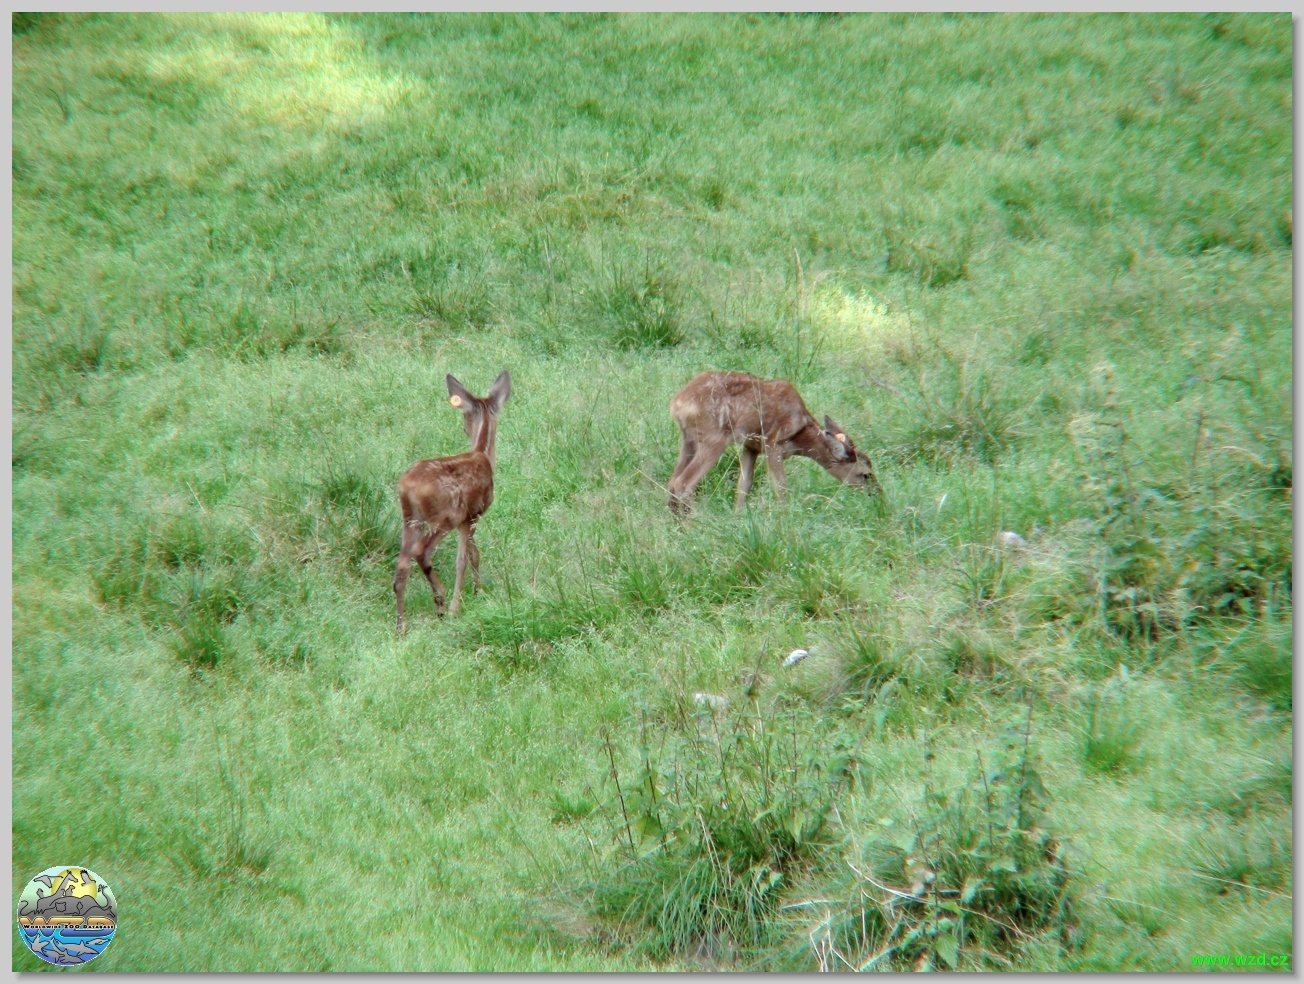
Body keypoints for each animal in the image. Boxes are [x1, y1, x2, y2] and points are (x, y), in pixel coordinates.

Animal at [394, 370, 511, 633]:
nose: (464, 429)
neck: (482, 453)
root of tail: (407, 487)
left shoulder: (469, 518)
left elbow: (474, 553)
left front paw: (478, 591)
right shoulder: (472, 514)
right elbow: (463, 559)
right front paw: (459, 606)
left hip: (410, 518)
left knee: (402, 564)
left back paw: (401, 626)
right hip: (445, 516)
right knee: (422, 551)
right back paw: (441, 602)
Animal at [666, 370, 880, 516]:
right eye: (865, 474)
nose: (877, 495)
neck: (801, 436)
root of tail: (677, 403)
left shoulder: (750, 447)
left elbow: (743, 486)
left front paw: (738, 517)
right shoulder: (773, 443)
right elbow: (781, 487)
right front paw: (785, 519)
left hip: (689, 439)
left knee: (672, 481)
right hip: (715, 438)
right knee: (683, 483)